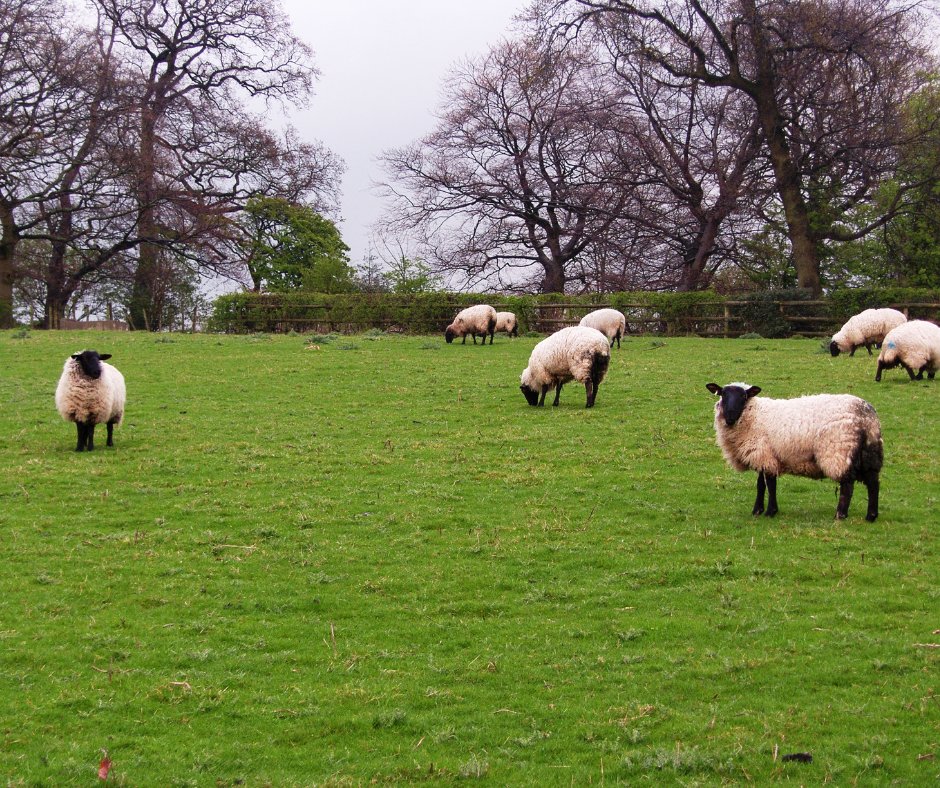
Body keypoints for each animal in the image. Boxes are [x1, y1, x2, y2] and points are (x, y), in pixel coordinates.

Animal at [705, 382, 883, 521]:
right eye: (723, 395)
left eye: (743, 396)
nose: (730, 417)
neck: (754, 415)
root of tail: (866, 414)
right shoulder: (763, 454)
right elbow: (761, 484)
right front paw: (757, 510)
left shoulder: (765, 454)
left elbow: (770, 483)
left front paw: (770, 511)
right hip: (870, 453)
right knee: (873, 483)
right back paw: (871, 516)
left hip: (839, 450)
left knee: (847, 485)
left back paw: (840, 515)